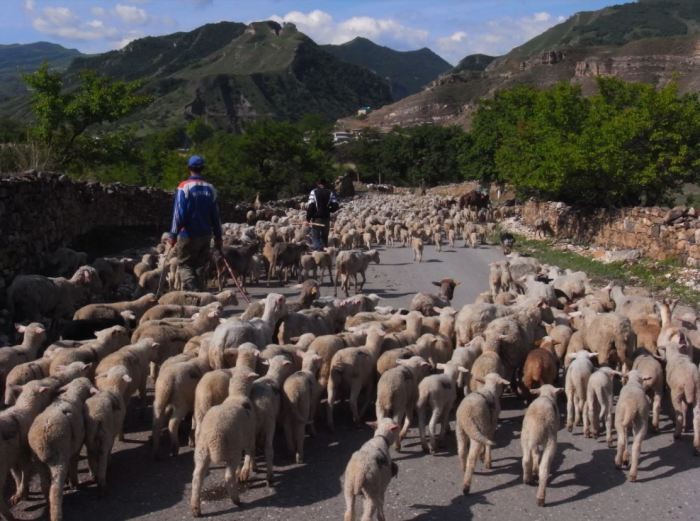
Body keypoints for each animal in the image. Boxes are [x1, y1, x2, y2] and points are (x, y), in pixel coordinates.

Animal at [28, 376, 95, 520]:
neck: (71, 395)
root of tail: (43, 436)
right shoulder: (76, 446)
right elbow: (74, 464)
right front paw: (74, 483)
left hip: (38, 459)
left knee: (45, 485)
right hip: (59, 457)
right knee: (55, 490)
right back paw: (56, 514)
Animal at [190, 368, 258, 512]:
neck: (237, 395)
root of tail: (213, 438)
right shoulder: (249, 435)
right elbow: (250, 452)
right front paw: (246, 469)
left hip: (201, 451)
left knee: (197, 477)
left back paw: (195, 508)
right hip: (232, 451)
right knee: (228, 476)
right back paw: (235, 499)